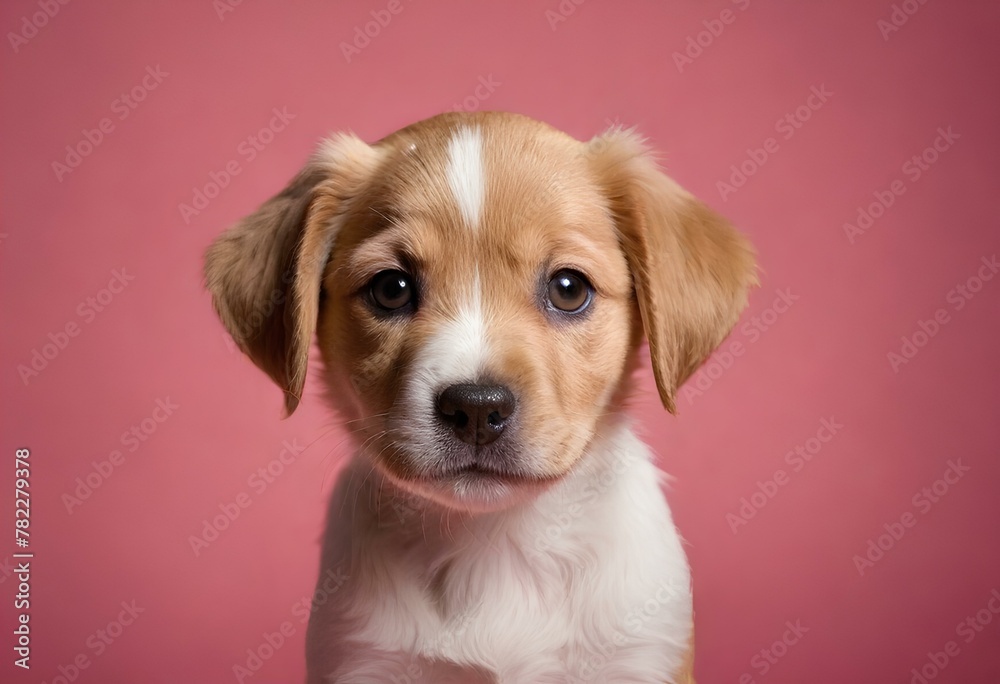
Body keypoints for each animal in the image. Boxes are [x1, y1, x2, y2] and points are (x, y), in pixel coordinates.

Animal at [203, 109, 752, 680]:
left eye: (569, 289)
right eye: (391, 289)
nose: (476, 408)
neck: (493, 543)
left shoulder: (640, 658)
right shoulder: (361, 660)